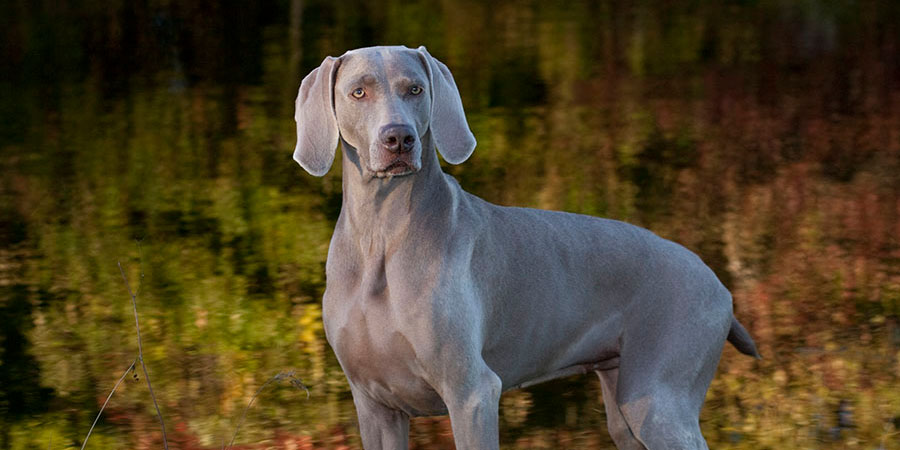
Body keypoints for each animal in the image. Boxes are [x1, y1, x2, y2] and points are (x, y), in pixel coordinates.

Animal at [294, 45, 760, 450]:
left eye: (415, 89)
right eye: (358, 92)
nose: (400, 139)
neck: (382, 235)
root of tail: (718, 285)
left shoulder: (472, 393)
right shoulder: (375, 406)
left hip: (660, 400)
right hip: (624, 405)